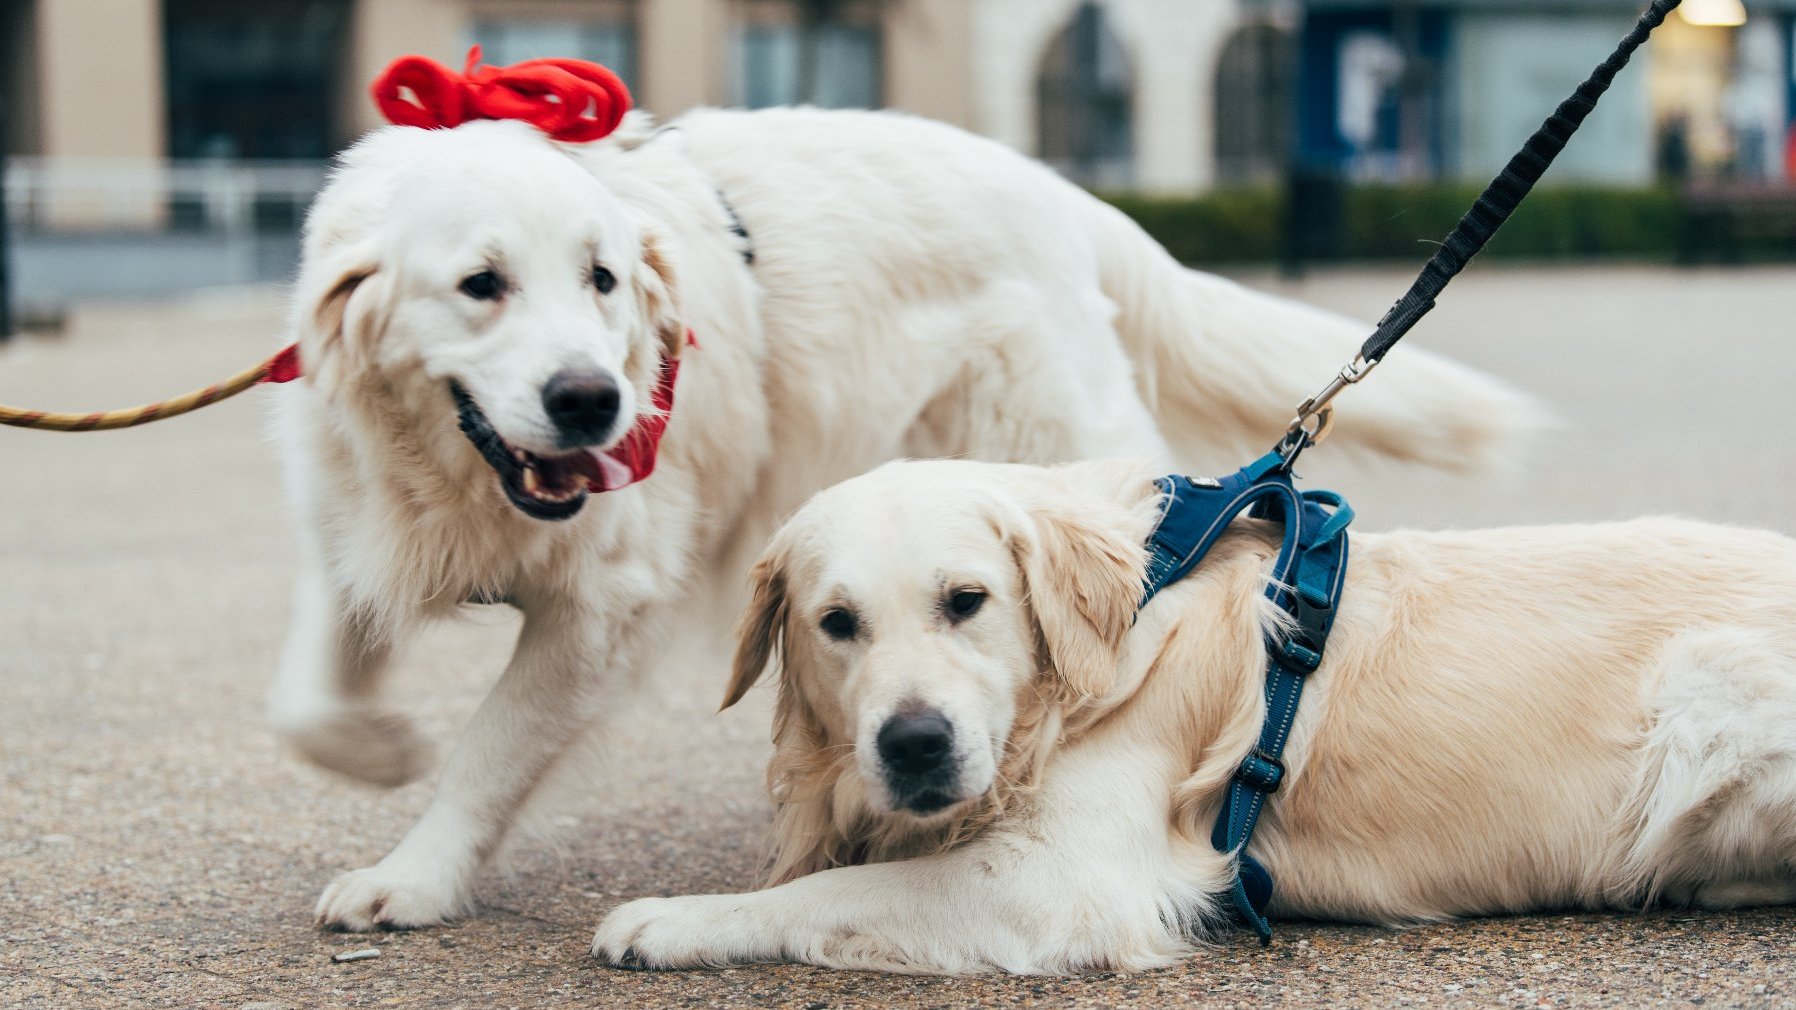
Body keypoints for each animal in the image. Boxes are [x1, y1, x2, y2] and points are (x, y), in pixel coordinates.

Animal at [272, 104, 1537, 927]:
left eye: (603, 280)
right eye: (480, 284)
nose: (592, 400)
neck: (455, 471)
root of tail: (1060, 191)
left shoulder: (603, 603)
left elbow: (489, 750)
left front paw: (413, 875)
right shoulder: (354, 522)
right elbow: (311, 698)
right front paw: (377, 744)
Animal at [596, 458, 1796, 977]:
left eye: (966, 600)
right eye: (836, 623)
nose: (915, 743)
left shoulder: (1060, 882)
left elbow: (827, 893)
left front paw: (671, 918)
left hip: (1705, 688)